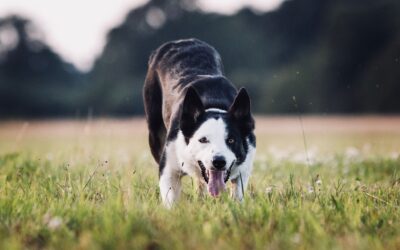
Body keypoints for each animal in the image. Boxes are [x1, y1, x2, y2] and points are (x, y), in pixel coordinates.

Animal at [144, 38, 256, 207]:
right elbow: (171, 198)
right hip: (155, 132)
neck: (214, 105)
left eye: (231, 140)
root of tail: (180, 41)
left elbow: (237, 193)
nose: (218, 161)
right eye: (203, 140)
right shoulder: (168, 167)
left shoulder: (244, 167)